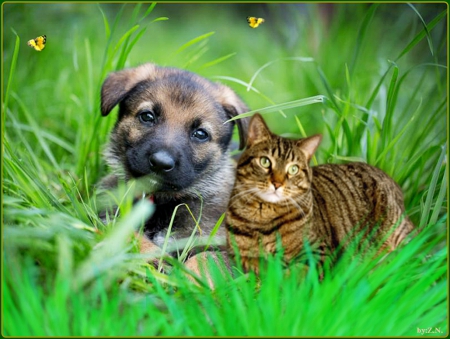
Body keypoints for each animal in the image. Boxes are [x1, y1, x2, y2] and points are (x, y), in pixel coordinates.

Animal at [98, 63, 250, 270]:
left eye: (200, 134)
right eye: (147, 116)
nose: (160, 163)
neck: (162, 200)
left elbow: (206, 259)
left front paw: (188, 276)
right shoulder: (103, 213)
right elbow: (127, 232)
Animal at [225, 113, 414, 274]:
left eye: (293, 169)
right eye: (265, 162)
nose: (277, 184)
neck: (263, 217)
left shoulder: (318, 253)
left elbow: (294, 274)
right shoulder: (239, 256)